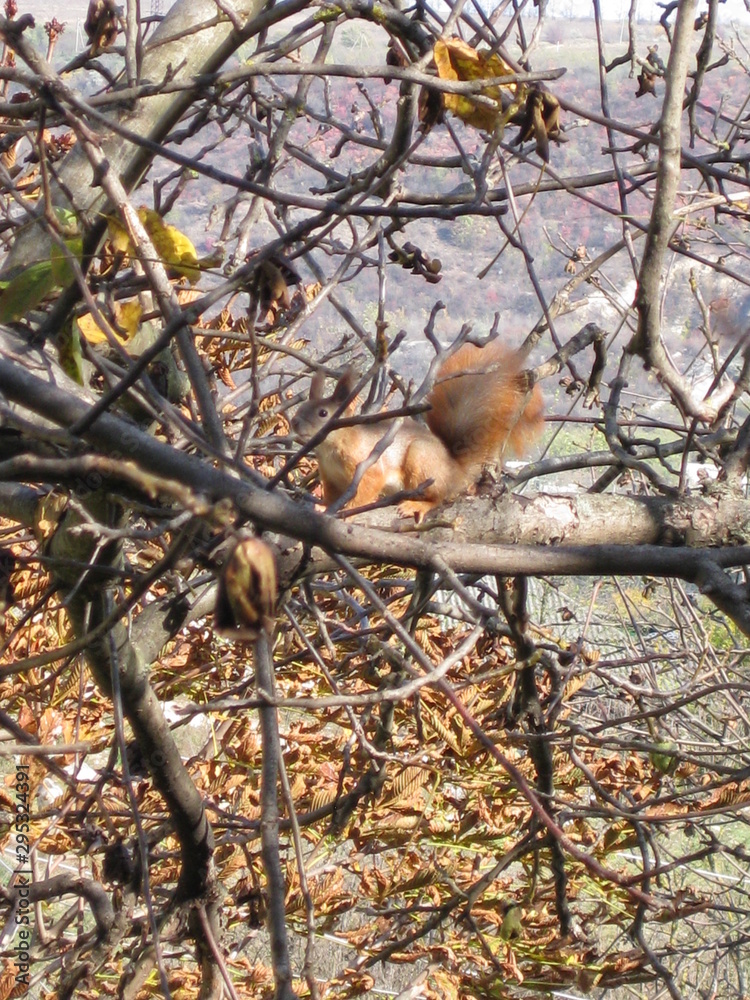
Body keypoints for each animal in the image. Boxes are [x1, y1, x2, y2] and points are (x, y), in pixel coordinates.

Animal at [291, 339, 544, 516]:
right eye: (301, 408)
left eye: (323, 413)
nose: (294, 422)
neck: (331, 448)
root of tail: (454, 470)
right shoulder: (329, 477)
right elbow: (330, 496)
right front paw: (323, 508)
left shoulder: (368, 466)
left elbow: (366, 489)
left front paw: (348, 510)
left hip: (421, 461)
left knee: (438, 498)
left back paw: (416, 506)